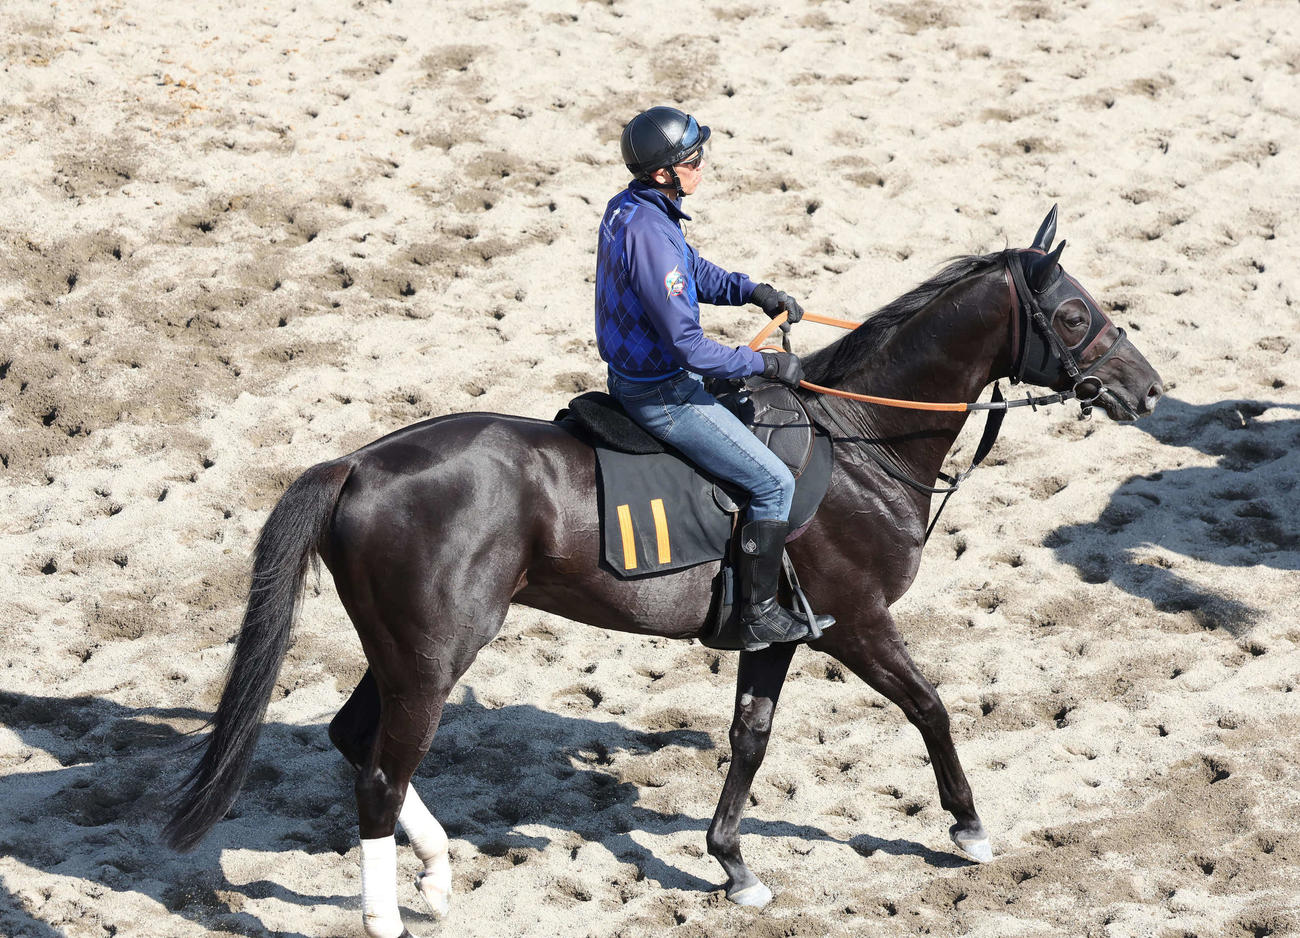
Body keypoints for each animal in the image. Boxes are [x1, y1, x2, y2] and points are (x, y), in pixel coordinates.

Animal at [164, 208, 1163, 937]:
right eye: (1072, 315)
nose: (1146, 389)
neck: (861, 437)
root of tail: (359, 464)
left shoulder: (781, 633)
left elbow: (751, 738)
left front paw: (734, 865)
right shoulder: (858, 622)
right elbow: (931, 708)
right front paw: (968, 826)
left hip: (406, 651)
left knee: (353, 740)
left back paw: (440, 873)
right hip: (433, 655)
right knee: (377, 772)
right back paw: (390, 915)